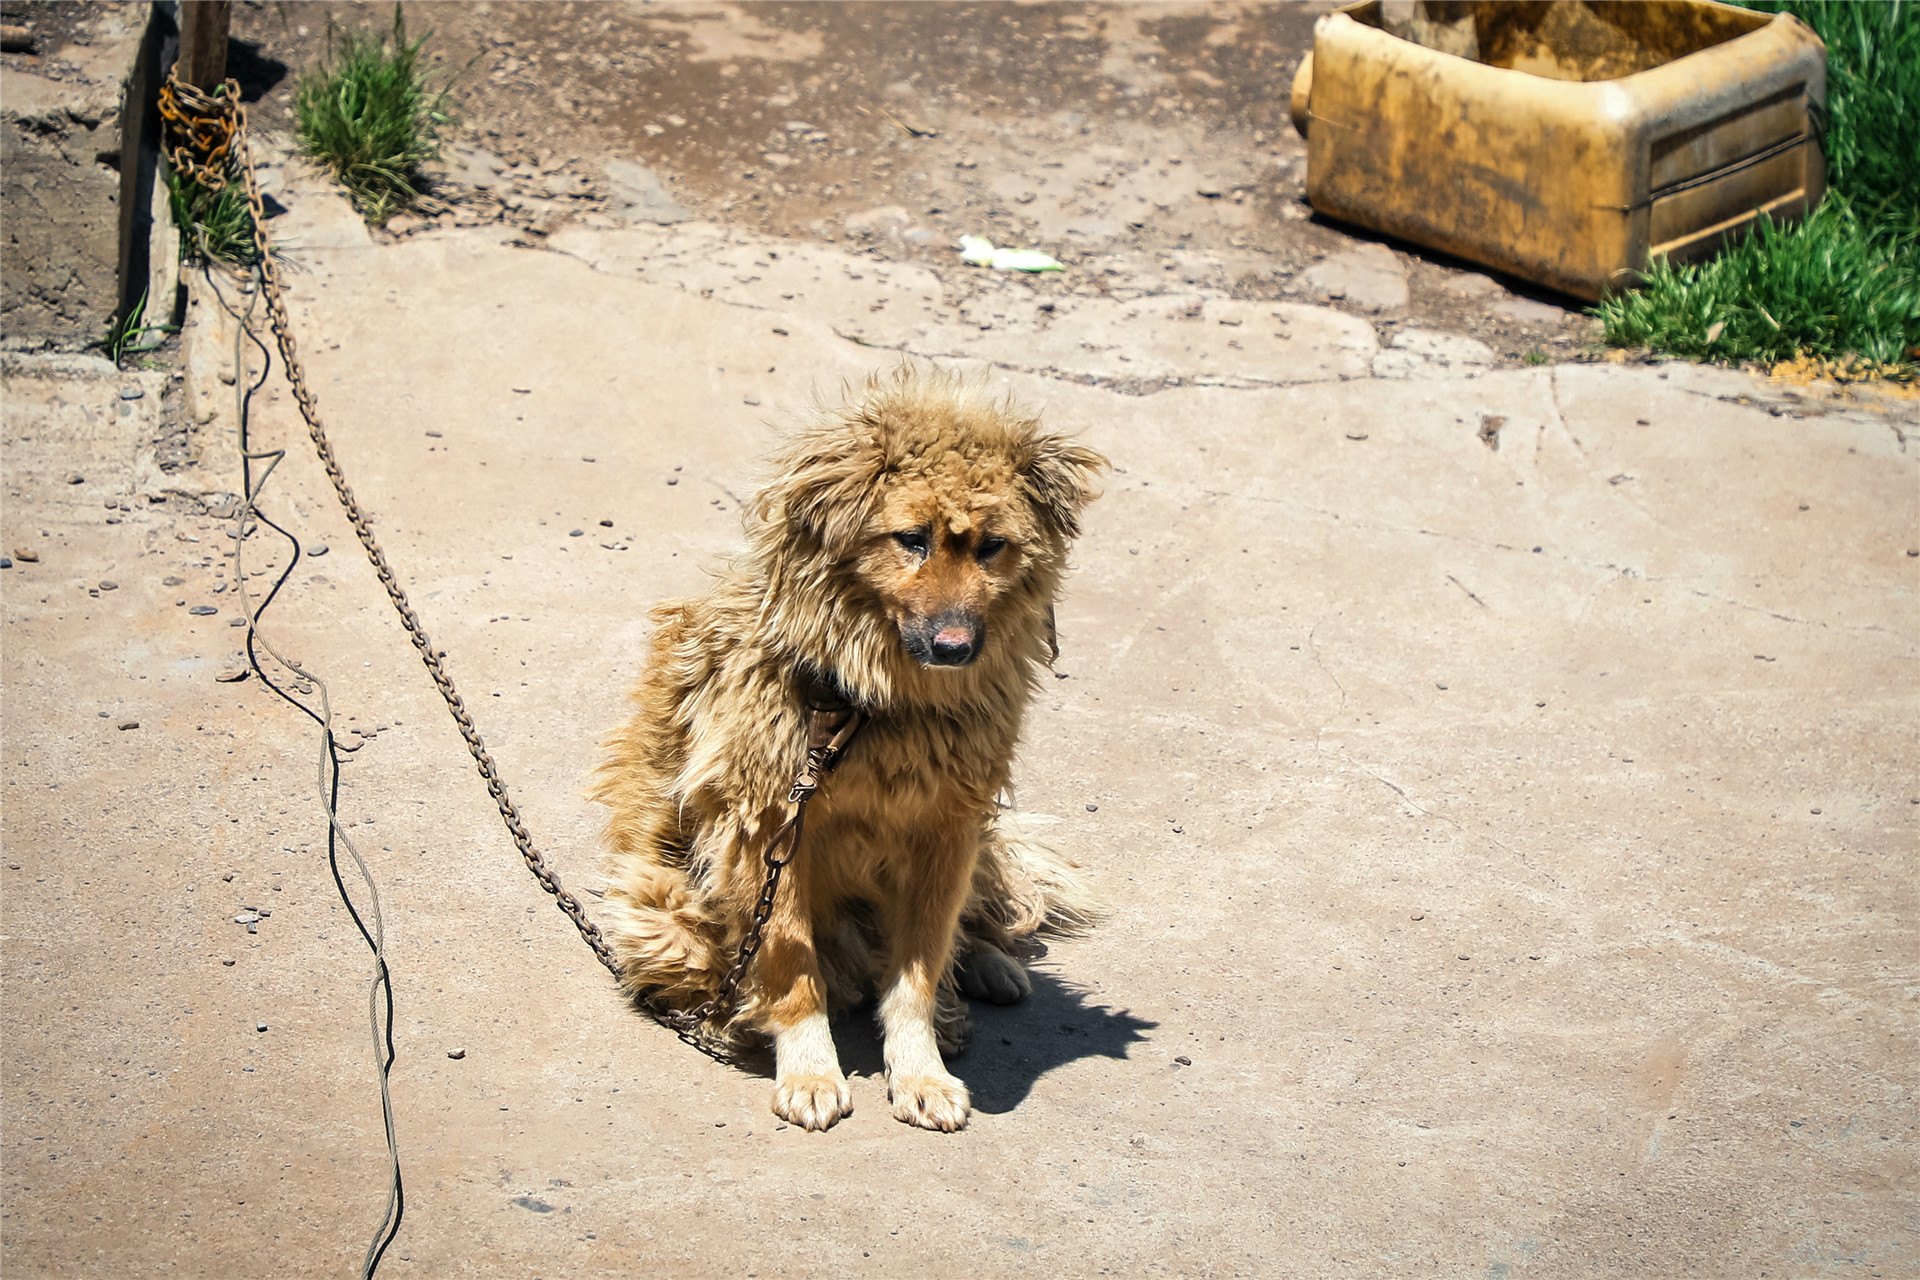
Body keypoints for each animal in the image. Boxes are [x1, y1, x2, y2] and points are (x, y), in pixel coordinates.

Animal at [595, 368, 1113, 1128]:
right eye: (911, 540)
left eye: (992, 546)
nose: (956, 648)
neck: (875, 702)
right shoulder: (770, 828)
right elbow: (791, 968)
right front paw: (810, 1071)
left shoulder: (947, 830)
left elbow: (919, 970)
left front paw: (922, 1070)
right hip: (661, 911)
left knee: (972, 920)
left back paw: (985, 970)